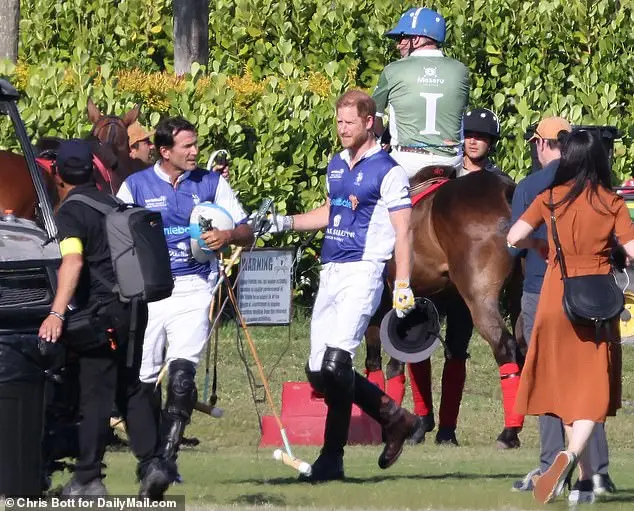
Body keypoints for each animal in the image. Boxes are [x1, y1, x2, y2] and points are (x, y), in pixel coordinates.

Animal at [362, 167, 520, 448]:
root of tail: (507, 190)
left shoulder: (382, 304)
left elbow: (381, 363)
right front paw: (421, 426)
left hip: (480, 297)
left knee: (506, 346)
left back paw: (508, 433)